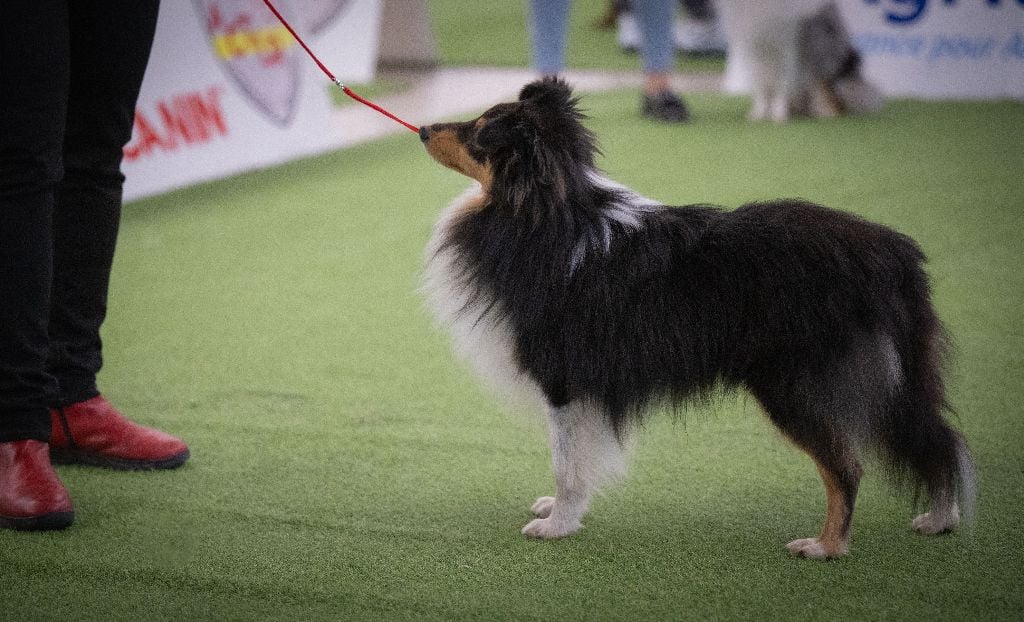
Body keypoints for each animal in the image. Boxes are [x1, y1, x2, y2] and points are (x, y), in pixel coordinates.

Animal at [417, 77, 974, 561]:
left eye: (479, 132)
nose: (422, 128)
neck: (546, 212)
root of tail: (893, 255)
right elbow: (578, 459)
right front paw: (559, 512)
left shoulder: (564, 380)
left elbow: (567, 462)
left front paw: (556, 526)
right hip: (900, 378)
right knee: (940, 438)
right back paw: (940, 519)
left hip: (795, 384)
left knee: (848, 465)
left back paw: (825, 547)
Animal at [716, 0, 884, 121]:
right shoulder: (753, 48)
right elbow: (761, 87)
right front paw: (758, 114)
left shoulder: (787, 47)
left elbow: (782, 84)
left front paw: (779, 115)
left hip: (821, 57)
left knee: (831, 96)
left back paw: (825, 112)